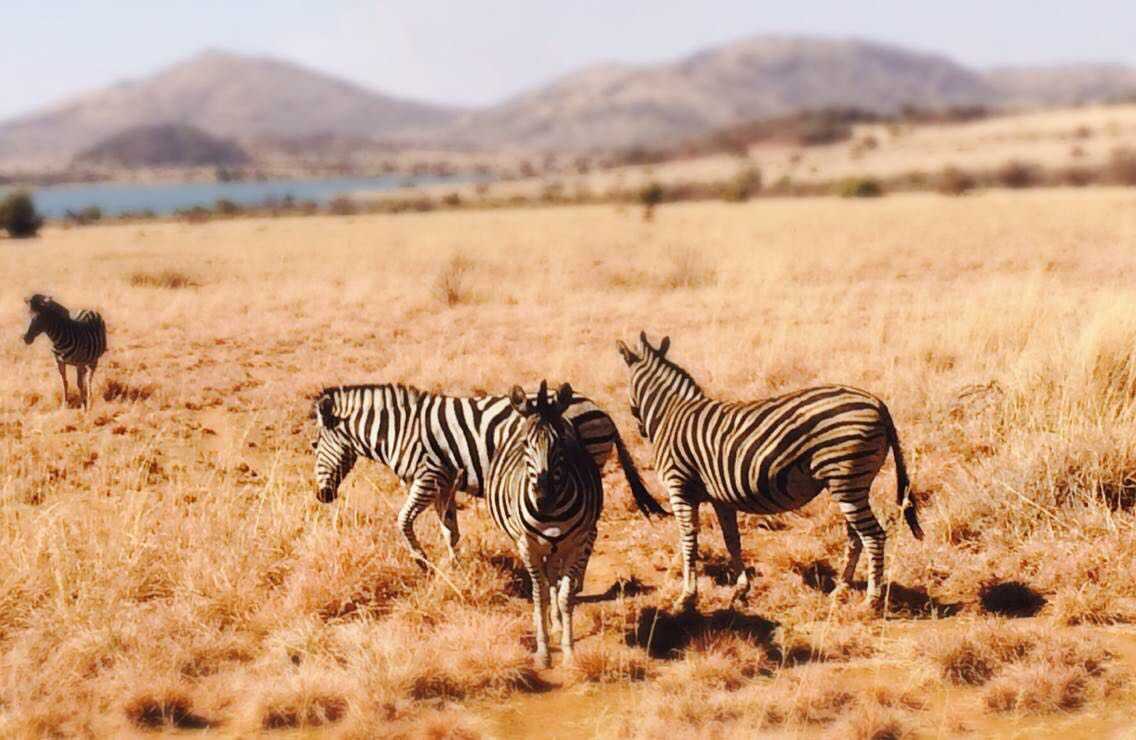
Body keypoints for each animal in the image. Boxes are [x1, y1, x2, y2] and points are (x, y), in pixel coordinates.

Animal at [311, 381, 663, 568]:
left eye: (313, 446)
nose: (321, 496)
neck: (400, 430)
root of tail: (601, 410)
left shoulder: (427, 477)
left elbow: (403, 521)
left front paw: (421, 561)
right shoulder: (444, 483)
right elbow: (449, 530)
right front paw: (454, 567)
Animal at [483, 381, 604, 672]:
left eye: (560, 443)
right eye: (525, 443)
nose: (544, 498)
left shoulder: (576, 544)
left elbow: (564, 595)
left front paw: (568, 651)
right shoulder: (528, 546)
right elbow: (539, 596)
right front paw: (543, 651)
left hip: (560, 547)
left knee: (554, 580)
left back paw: (557, 623)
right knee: (547, 583)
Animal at [617, 331, 926, 609]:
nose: (641, 430)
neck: (672, 413)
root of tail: (877, 402)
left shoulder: (678, 487)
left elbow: (688, 541)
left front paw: (686, 597)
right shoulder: (719, 497)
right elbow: (732, 540)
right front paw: (741, 589)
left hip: (846, 480)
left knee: (873, 536)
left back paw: (871, 600)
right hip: (854, 483)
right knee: (856, 538)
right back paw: (840, 590)